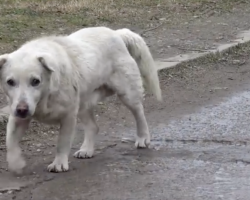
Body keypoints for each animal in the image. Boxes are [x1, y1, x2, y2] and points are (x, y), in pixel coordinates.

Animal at [0, 26, 161, 173]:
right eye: (10, 82)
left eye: (35, 81)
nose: (22, 110)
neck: (45, 96)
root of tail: (117, 33)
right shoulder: (16, 116)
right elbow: (10, 141)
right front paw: (16, 163)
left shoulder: (68, 116)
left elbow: (62, 143)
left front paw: (59, 164)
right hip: (84, 103)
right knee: (93, 127)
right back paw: (87, 150)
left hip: (128, 94)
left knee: (139, 113)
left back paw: (143, 138)